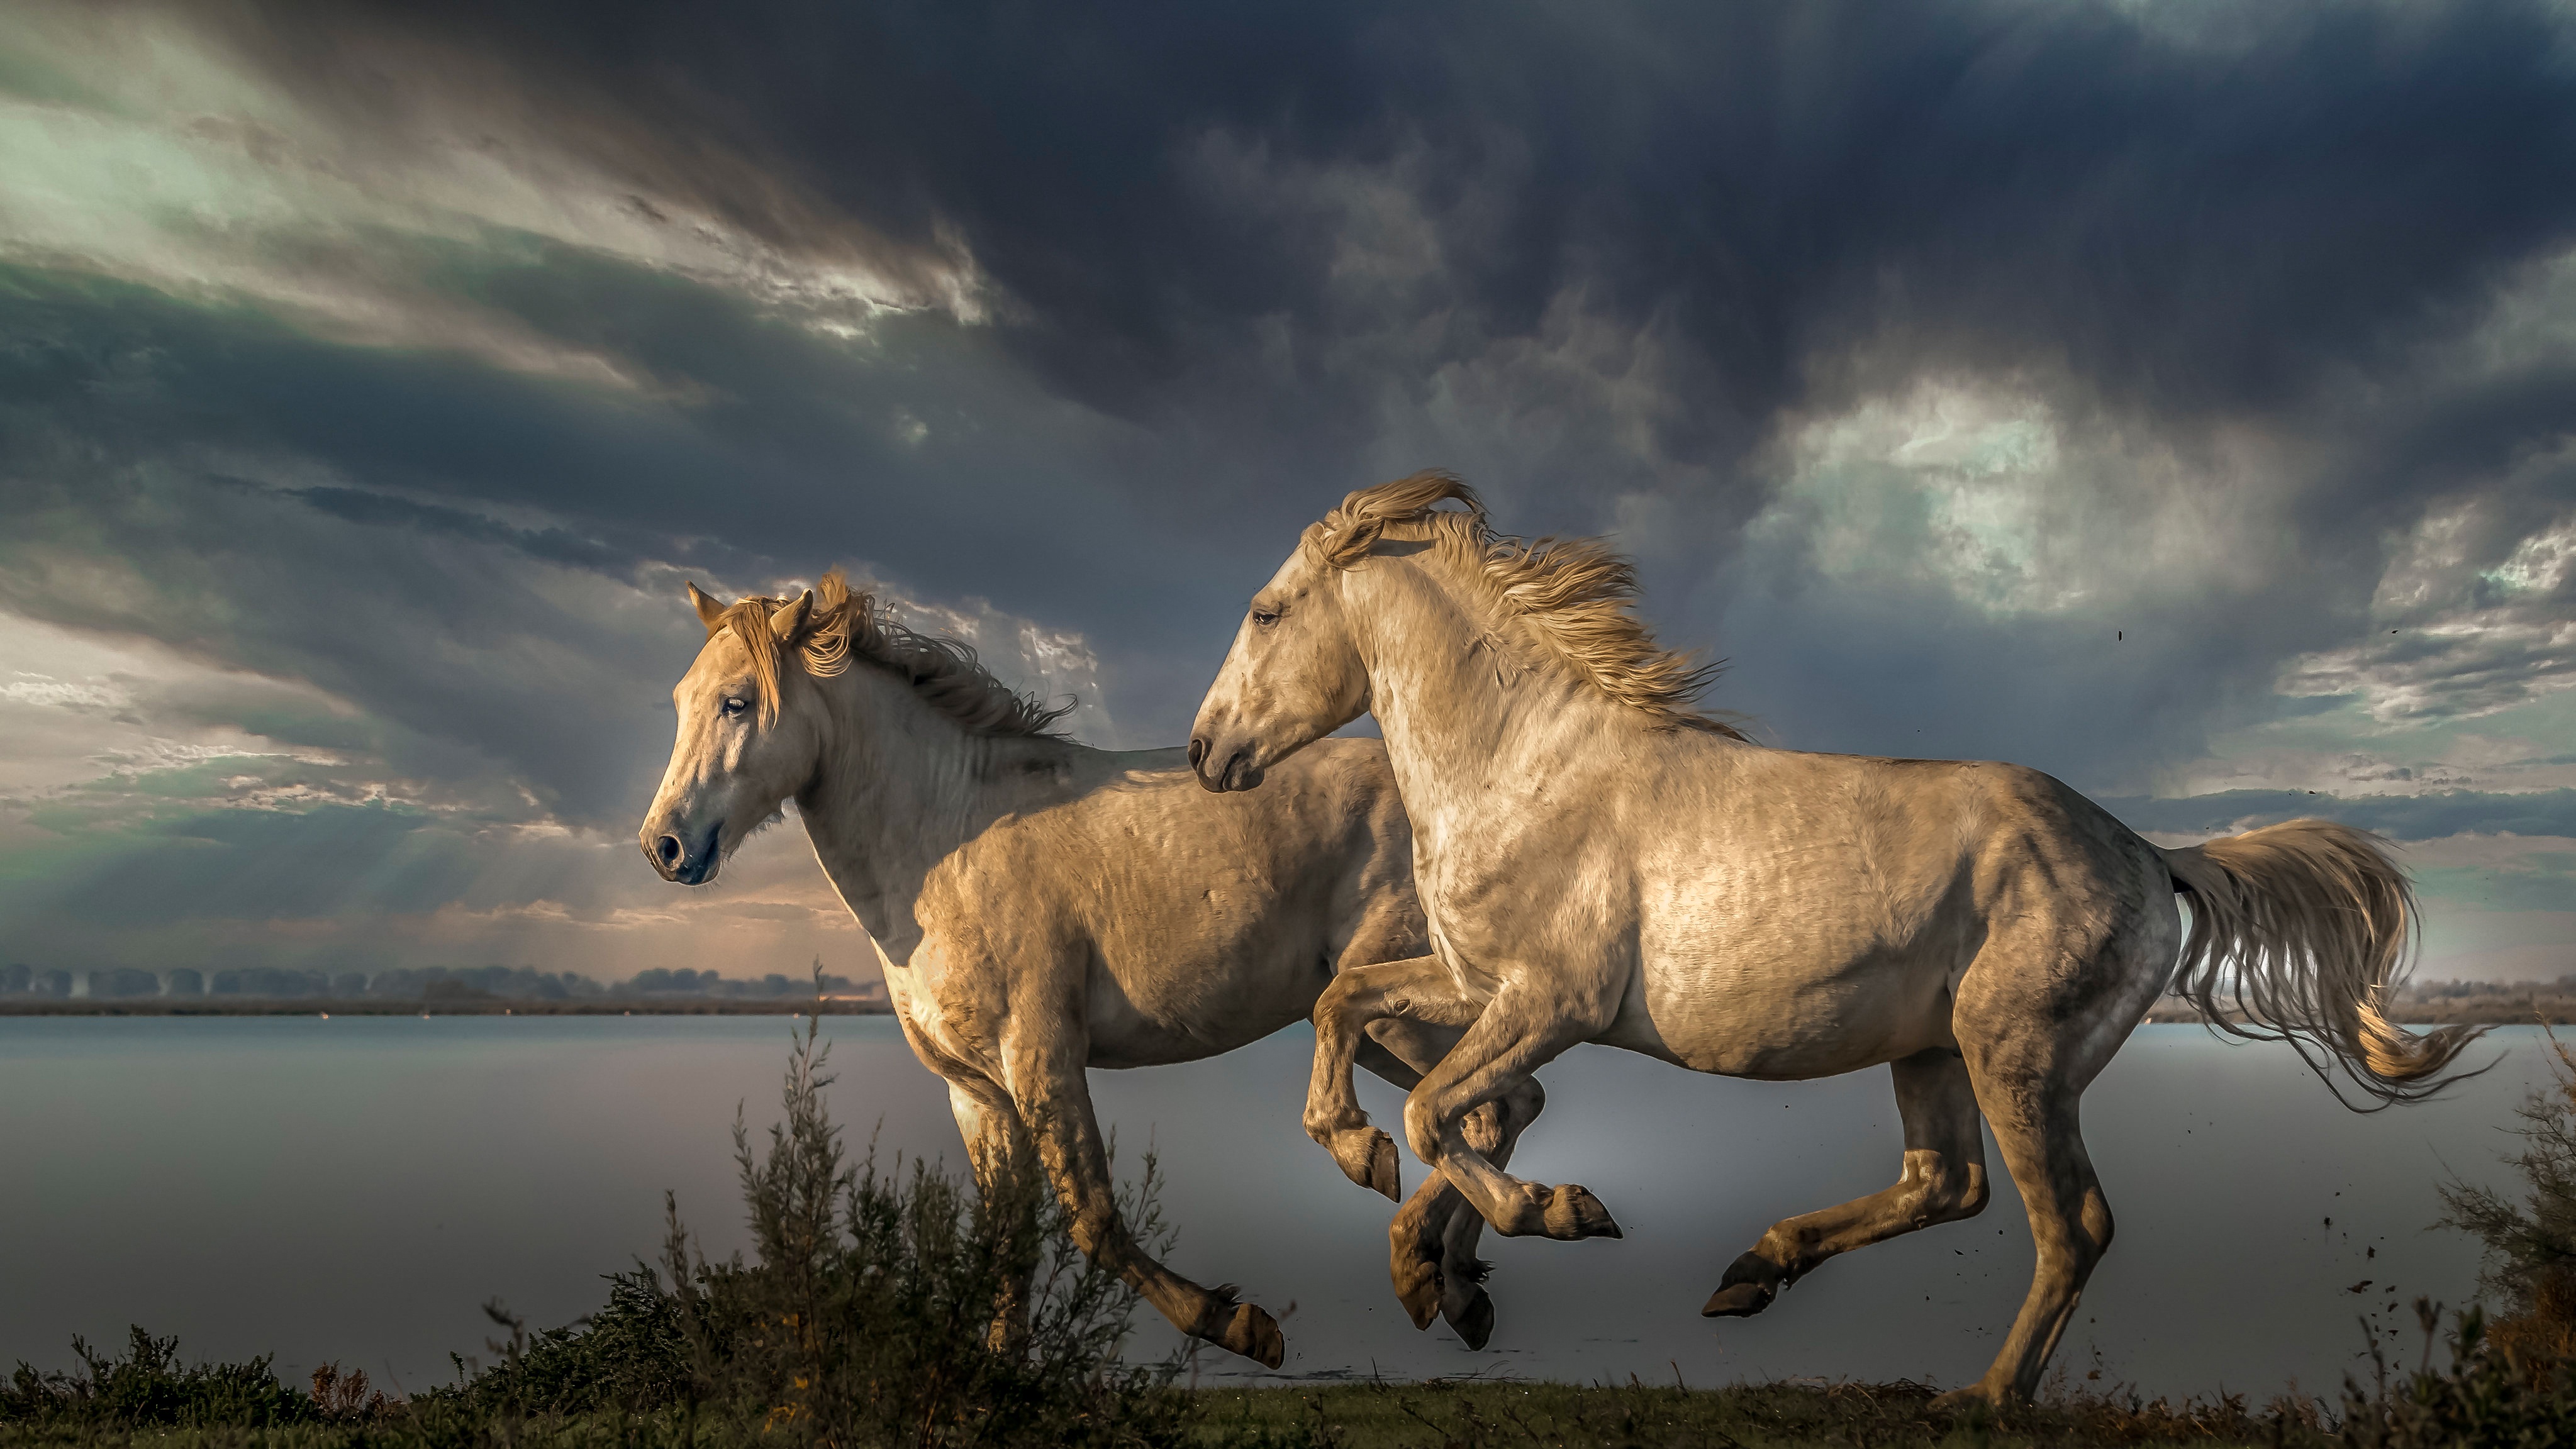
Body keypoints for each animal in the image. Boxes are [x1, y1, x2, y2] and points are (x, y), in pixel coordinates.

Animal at [636, 574, 1535, 1369]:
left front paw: (1239, 1325)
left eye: (737, 702)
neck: (946, 840)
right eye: (679, 701)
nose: (664, 846)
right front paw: (1000, 1368)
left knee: (1480, 1108)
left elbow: (1092, 1219)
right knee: (1500, 1104)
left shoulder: (1043, 1058)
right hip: (1382, 1025)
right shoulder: (977, 1091)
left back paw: (1429, 1258)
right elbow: (1006, 1234)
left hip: (1400, 1012)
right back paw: (1459, 1284)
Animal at [1185, 476, 2473, 1410]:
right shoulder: (1470, 983)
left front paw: (1552, 1210)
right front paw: (1399, 1224)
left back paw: (1985, 1396)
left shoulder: (1550, 1003)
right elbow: (1350, 1011)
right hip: (1933, 1050)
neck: (1525, 767)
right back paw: (1751, 1274)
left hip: (2017, 1054)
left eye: (1264, 610)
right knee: (1944, 1183)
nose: (1203, 753)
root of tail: (2150, 854)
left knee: (2069, 1224)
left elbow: (1430, 1112)